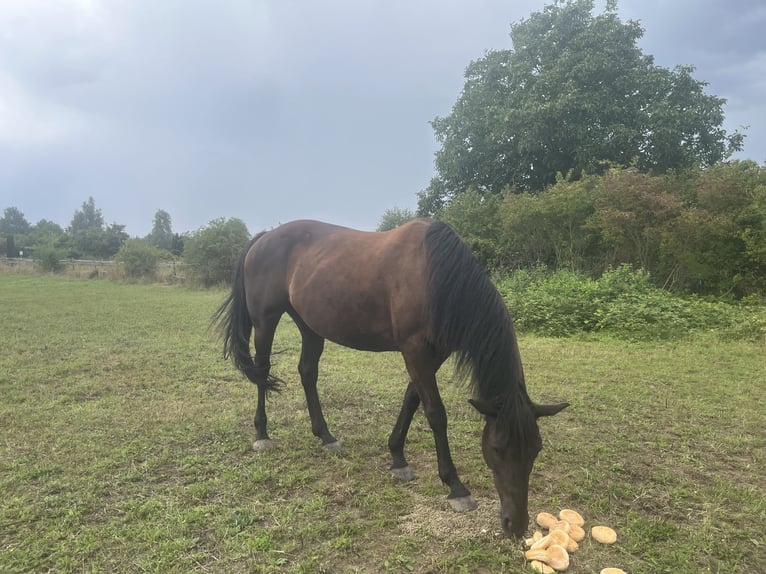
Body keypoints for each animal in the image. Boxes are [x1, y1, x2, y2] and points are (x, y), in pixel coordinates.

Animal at [212, 218, 568, 537]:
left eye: (536, 449)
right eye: (496, 448)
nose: (516, 526)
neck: (437, 276)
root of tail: (264, 237)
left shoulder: (431, 355)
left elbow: (411, 400)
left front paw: (397, 457)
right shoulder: (415, 351)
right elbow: (435, 413)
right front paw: (455, 486)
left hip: (309, 324)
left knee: (307, 372)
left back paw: (325, 435)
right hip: (265, 320)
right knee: (262, 371)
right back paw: (262, 433)